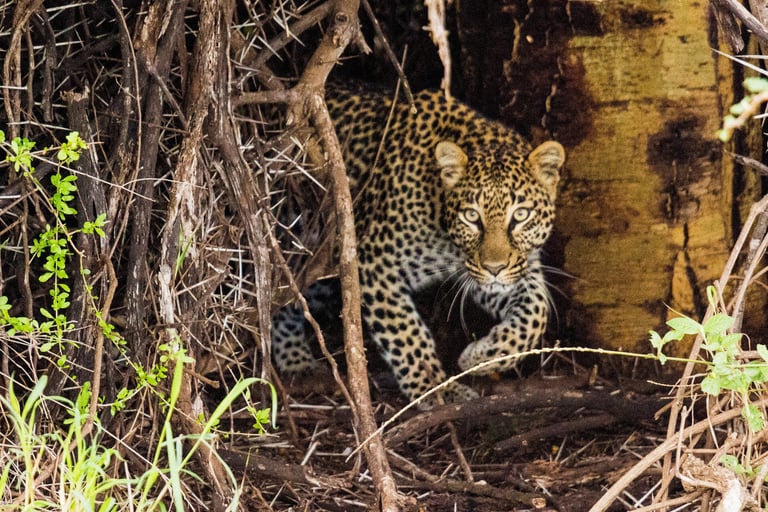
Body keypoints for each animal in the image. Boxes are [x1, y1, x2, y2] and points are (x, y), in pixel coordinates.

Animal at [272, 83, 566, 407]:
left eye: (521, 215)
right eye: (471, 216)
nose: (495, 268)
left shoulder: (502, 270)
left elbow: (536, 310)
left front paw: (482, 357)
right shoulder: (373, 260)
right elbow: (406, 334)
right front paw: (437, 389)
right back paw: (295, 360)